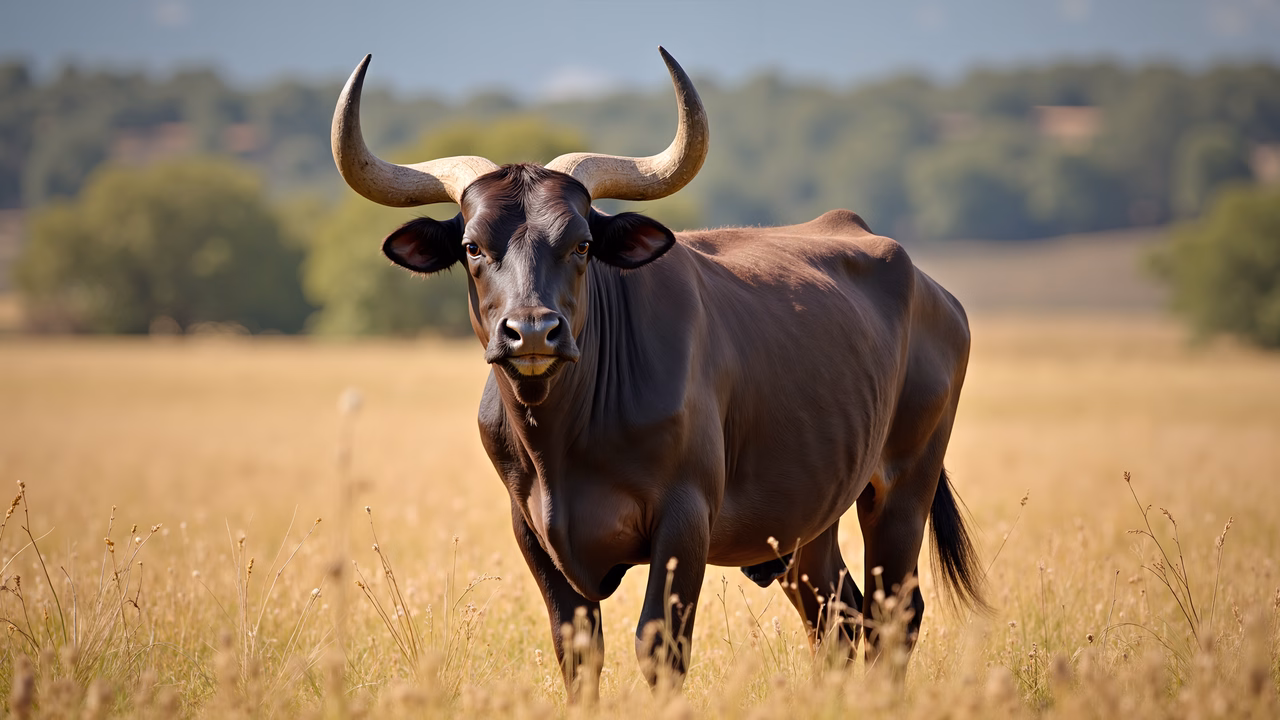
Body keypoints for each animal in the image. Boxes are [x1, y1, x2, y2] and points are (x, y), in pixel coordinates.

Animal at [331, 47, 985, 699]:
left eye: (582, 244)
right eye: (472, 246)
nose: (534, 333)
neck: (563, 442)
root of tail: (932, 290)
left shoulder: (685, 520)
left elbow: (660, 645)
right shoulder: (532, 532)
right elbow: (578, 653)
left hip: (903, 486)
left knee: (894, 613)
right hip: (809, 519)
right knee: (838, 617)